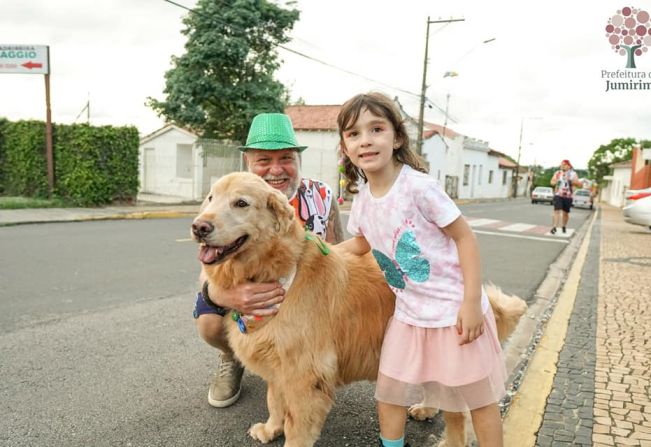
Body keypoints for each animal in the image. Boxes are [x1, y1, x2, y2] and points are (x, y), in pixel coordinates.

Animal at [191, 172, 528, 447]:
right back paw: (426, 407)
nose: (198, 227)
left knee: (457, 415)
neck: (278, 271)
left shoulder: (305, 374)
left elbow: (297, 426)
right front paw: (272, 428)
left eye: (241, 203)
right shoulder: (278, 363)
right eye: (210, 198)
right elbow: (275, 400)